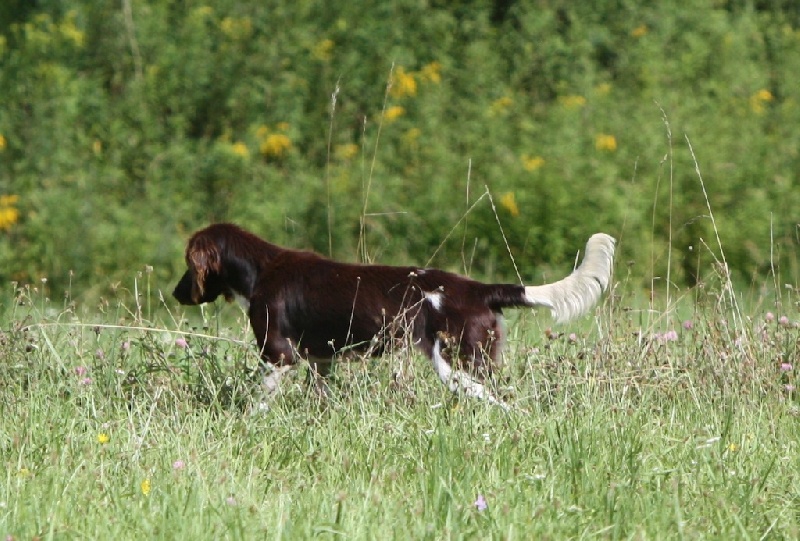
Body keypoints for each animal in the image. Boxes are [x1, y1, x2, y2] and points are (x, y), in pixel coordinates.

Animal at [172, 221, 616, 408]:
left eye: (187, 264)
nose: (176, 293)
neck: (258, 270)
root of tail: (480, 289)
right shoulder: (320, 362)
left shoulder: (278, 356)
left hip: (459, 364)